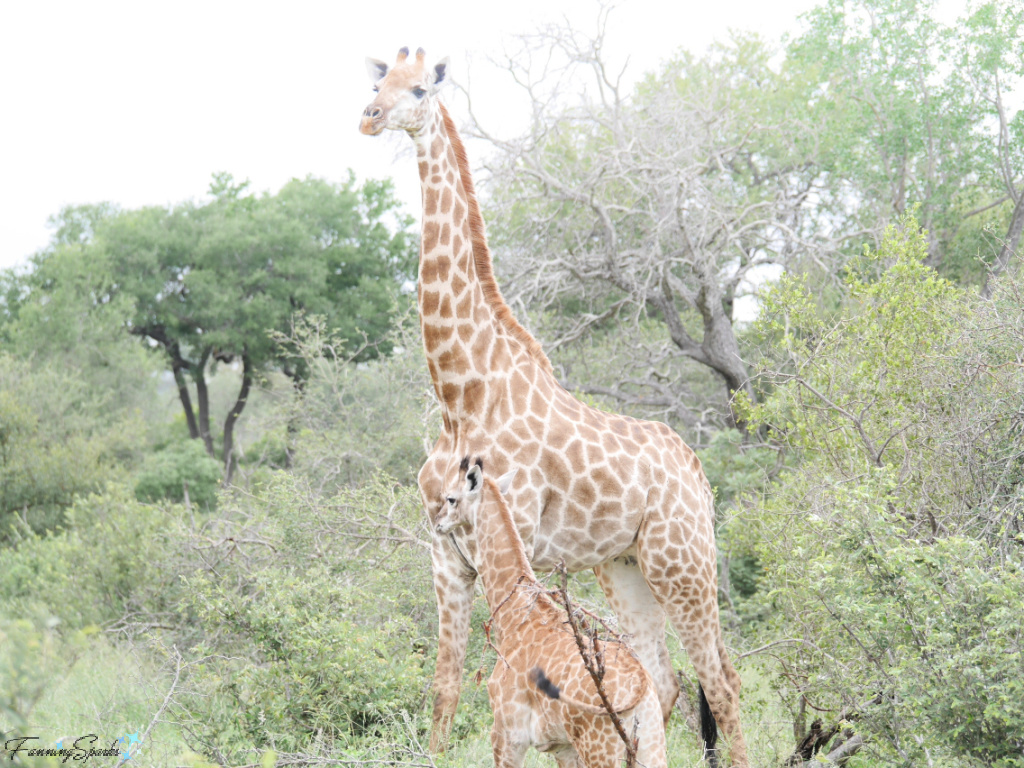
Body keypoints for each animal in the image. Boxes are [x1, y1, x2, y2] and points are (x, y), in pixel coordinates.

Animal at [436, 460, 667, 765]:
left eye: (451, 498)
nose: (438, 522)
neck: (514, 616)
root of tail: (640, 685)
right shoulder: (561, 746)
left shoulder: (507, 734)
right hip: (652, 742)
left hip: (600, 746)